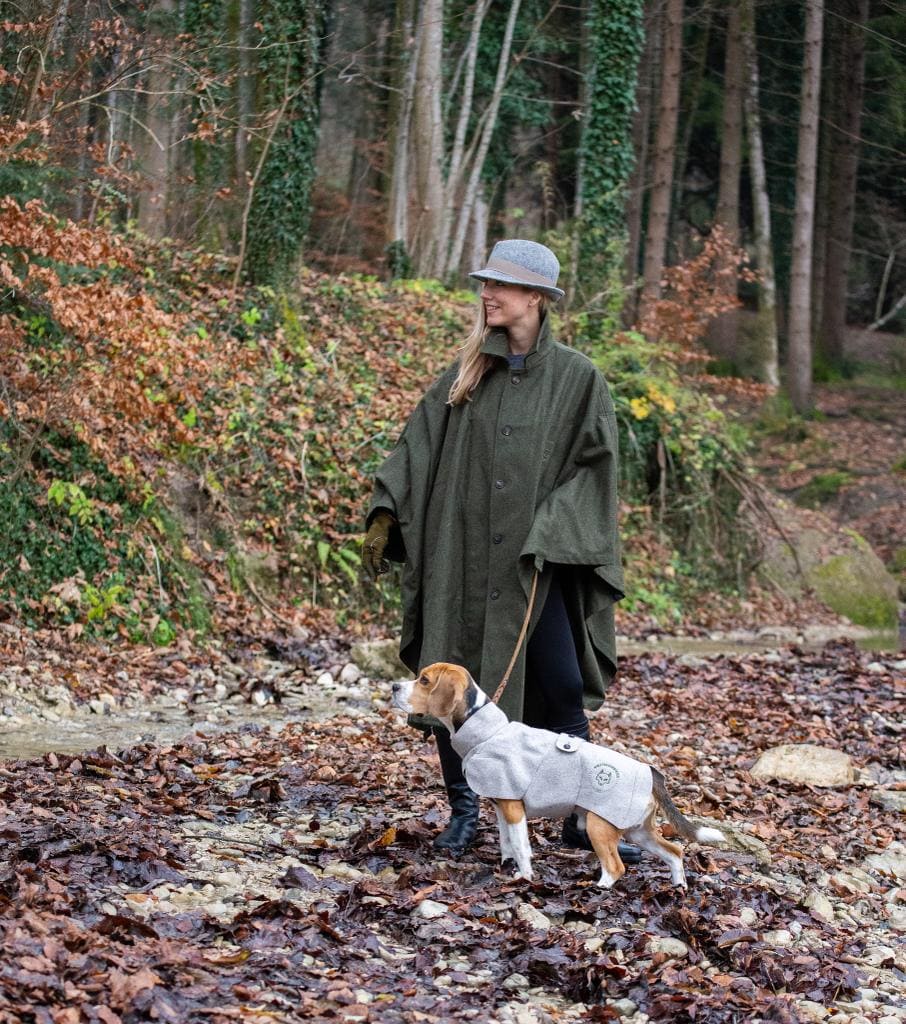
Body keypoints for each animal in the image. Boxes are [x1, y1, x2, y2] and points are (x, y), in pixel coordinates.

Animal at [393, 663, 724, 888]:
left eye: (424, 680)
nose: (395, 687)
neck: (487, 733)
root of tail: (650, 771)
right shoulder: (501, 806)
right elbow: (507, 842)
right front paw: (506, 865)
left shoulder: (513, 808)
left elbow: (521, 846)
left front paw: (524, 877)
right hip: (637, 830)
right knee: (675, 851)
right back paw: (678, 886)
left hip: (600, 825)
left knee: (616, 867)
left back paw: (599, 887)